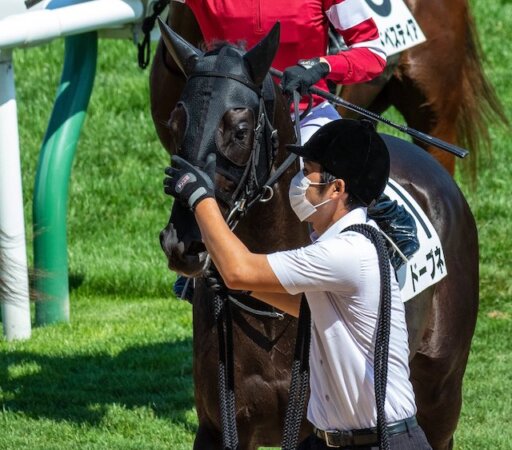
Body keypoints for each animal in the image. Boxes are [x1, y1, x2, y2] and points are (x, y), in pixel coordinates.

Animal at [156, 22, 480, 450]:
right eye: (176, 124)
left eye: (240, 131)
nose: (182, 242)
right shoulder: (219, 426)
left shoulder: (316, 429)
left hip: (441, 393)